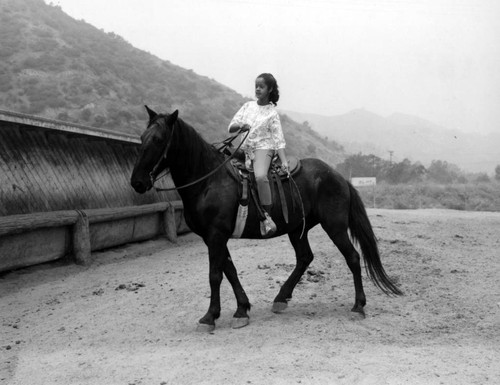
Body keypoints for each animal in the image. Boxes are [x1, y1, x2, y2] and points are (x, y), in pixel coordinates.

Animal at [130, 106, 402, 330]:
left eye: (158, 139)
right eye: (142, 138)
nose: (137, 182)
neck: (208, 180)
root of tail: (338, 176)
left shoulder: (216, 235)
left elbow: (215, 274)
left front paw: (210, 317)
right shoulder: (214, 237)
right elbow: (230, 270)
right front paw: (241, 310)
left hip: (334, 226)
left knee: (353, 258)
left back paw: (358, 306)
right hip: (297, 229)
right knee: (305, 257)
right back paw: (281, 298)